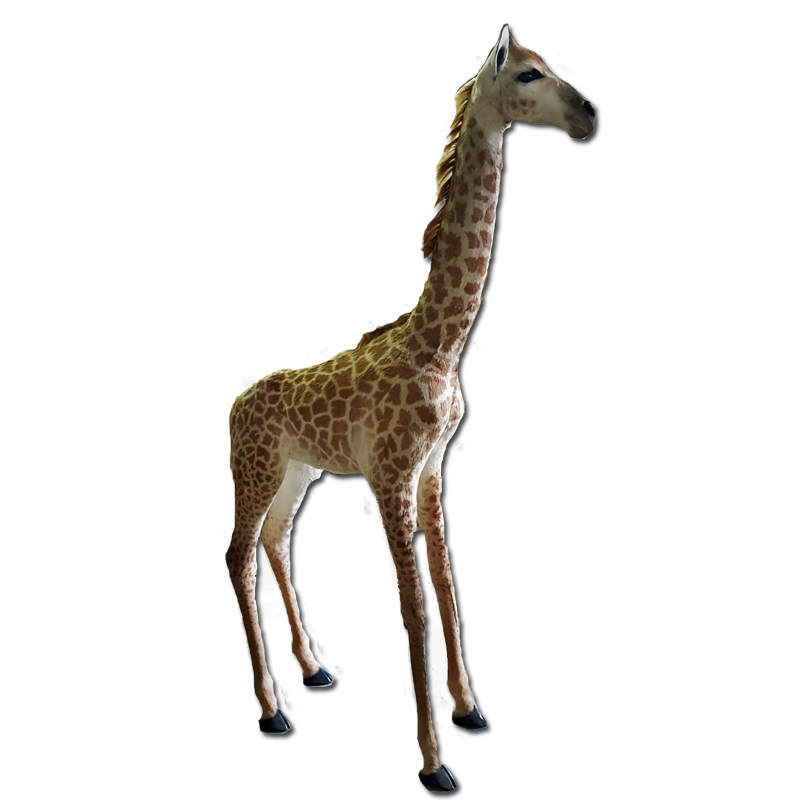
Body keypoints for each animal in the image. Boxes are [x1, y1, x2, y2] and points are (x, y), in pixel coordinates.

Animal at [225, 25, 596, 795]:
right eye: (526, 75)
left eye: (551, 66)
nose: (590, 117)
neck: (442, 341)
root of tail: (238, 402)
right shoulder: (391, 475)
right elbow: (414, 602)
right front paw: (434, 765)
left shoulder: (432, 470)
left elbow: (450, 590)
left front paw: (472, 716)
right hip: (258, 468)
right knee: (239, 557)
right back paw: (273, 709)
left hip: (297, 474)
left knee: (274, 543)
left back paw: (315, 671)